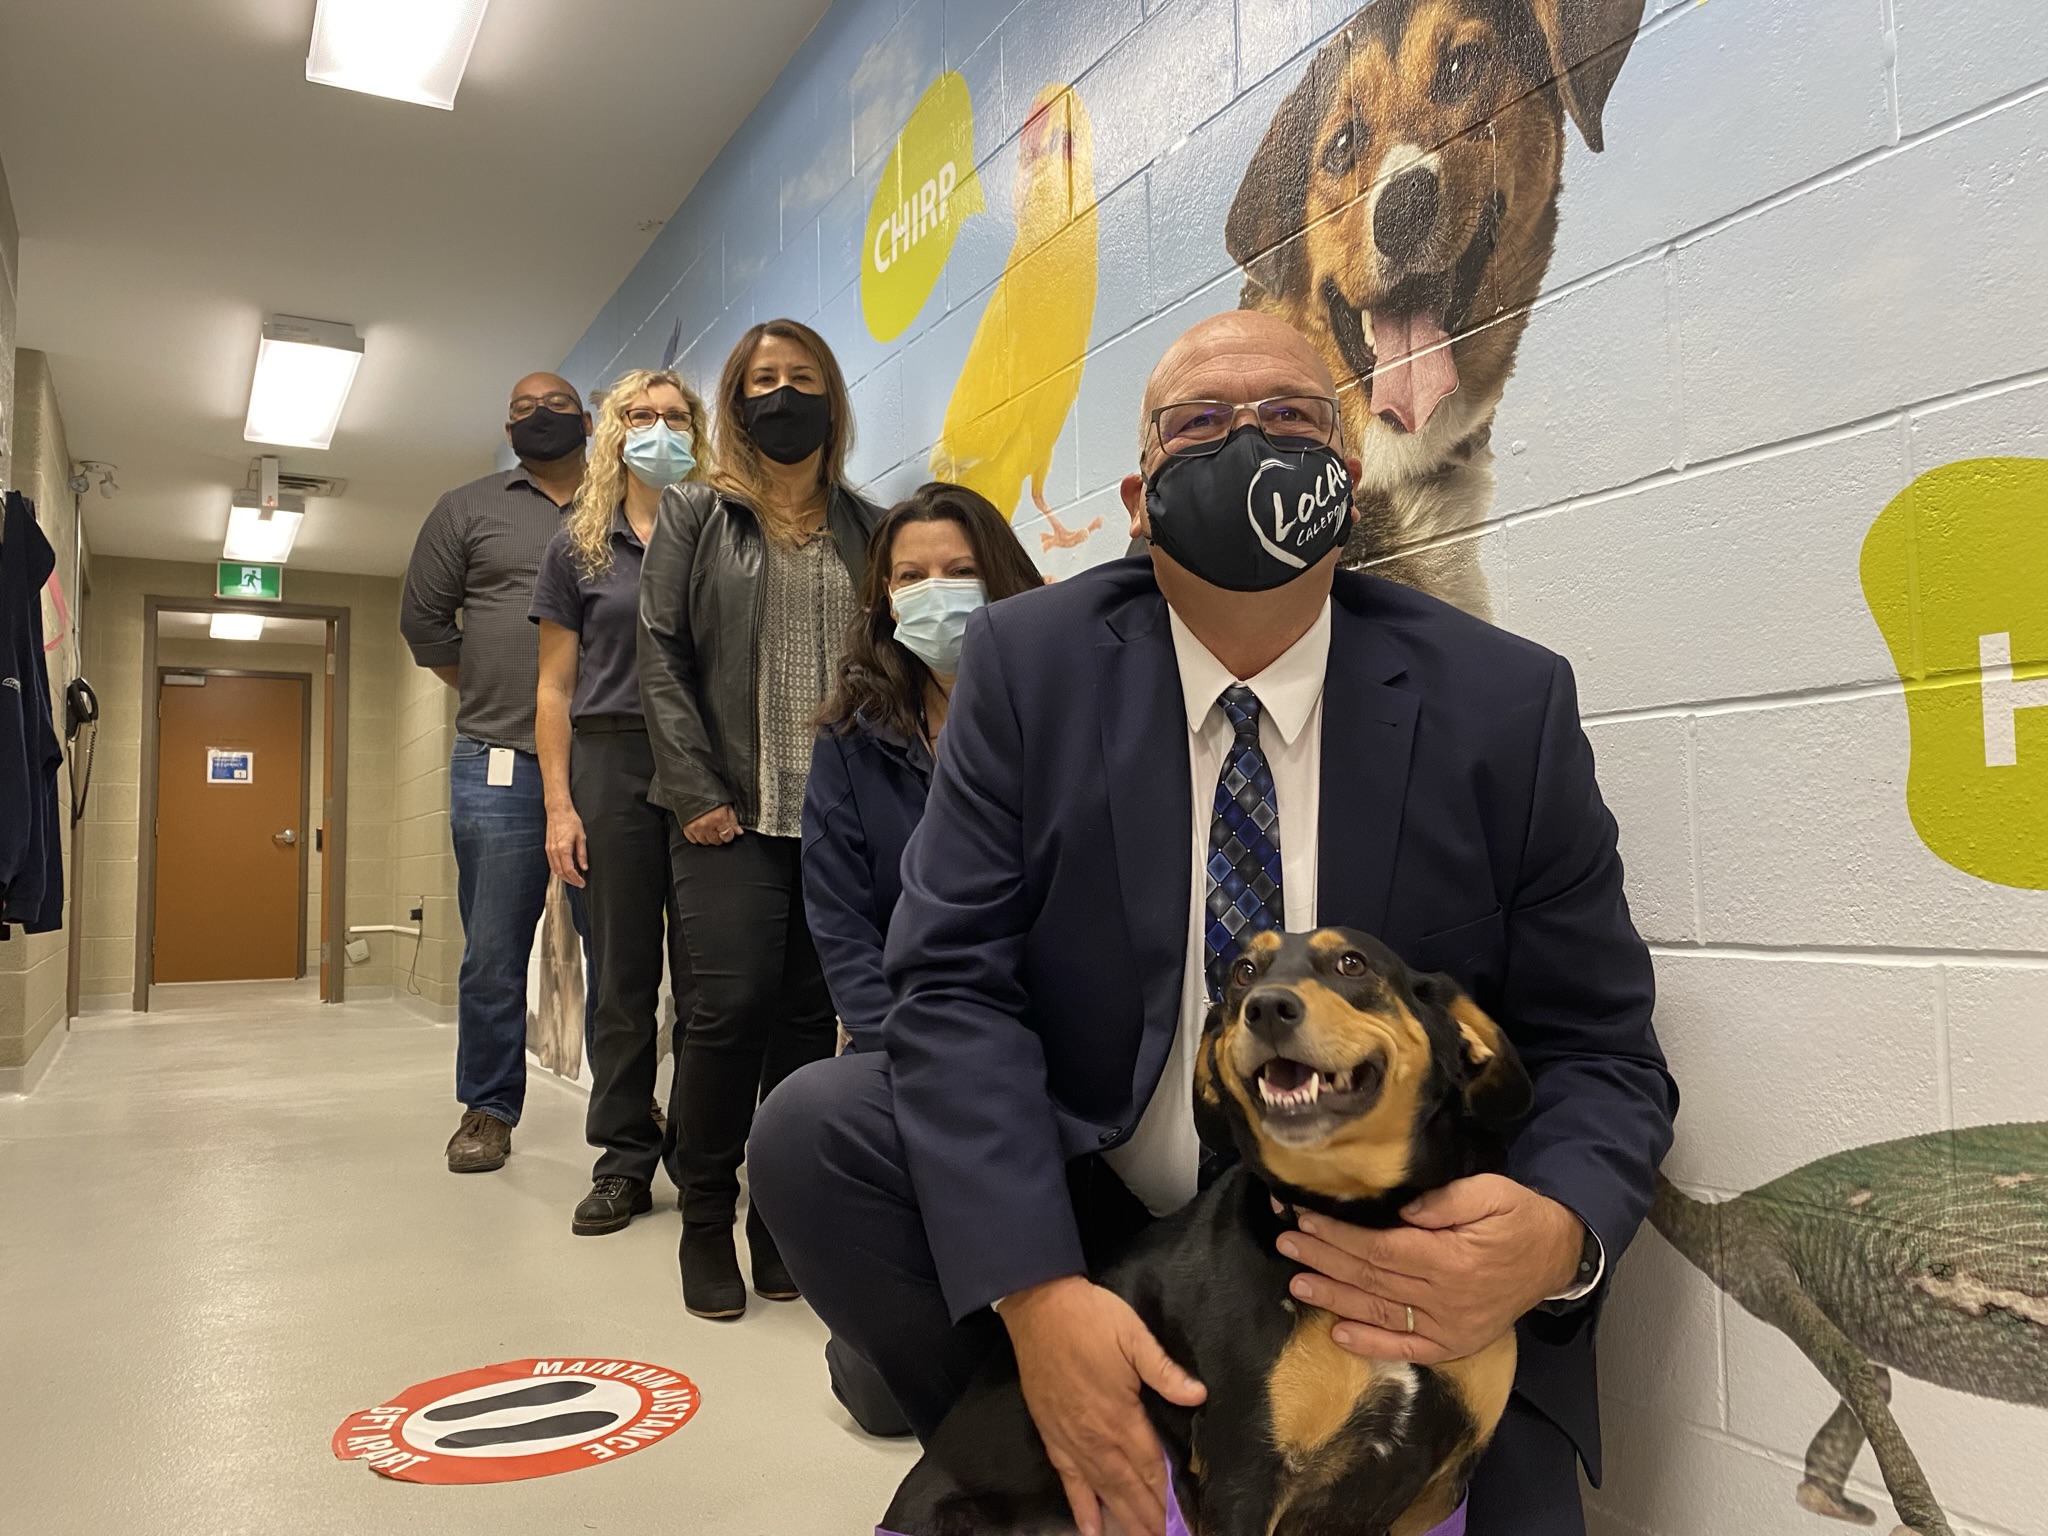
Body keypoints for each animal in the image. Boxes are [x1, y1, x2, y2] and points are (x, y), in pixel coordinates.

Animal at [884, 933, 1540, 1531]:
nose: (1267, 1008)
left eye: (1351, 963)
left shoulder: (1439, 1491)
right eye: (1243, 973)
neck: (1362, 1213)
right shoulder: (1245, 1474)